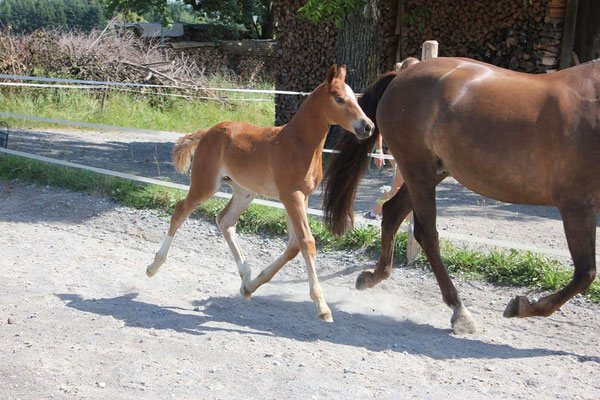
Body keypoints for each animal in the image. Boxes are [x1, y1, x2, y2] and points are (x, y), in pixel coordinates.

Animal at [146, 65, 372, 322]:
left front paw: (251, 287)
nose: (367, 126)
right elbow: (307, 242)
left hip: (244, 192)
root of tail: (207, 132)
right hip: (205, 185)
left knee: (225, 220)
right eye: (339, 99)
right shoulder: (291, 196)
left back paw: (245, 275)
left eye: (356, 98)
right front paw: (322, 306)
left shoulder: (301, 198)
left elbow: (294, 245)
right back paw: (154, 266)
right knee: (180, 211)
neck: (297, 144)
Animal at [324, 55, 600, 332]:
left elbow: (585, 274)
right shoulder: (576, 204)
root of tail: (401, 76)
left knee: (392, 213)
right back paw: (459, 310)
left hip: (430, 173)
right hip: (418, 171)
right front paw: (519, 306)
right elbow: (585, 273)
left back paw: (372, 276)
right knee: (426, 233)